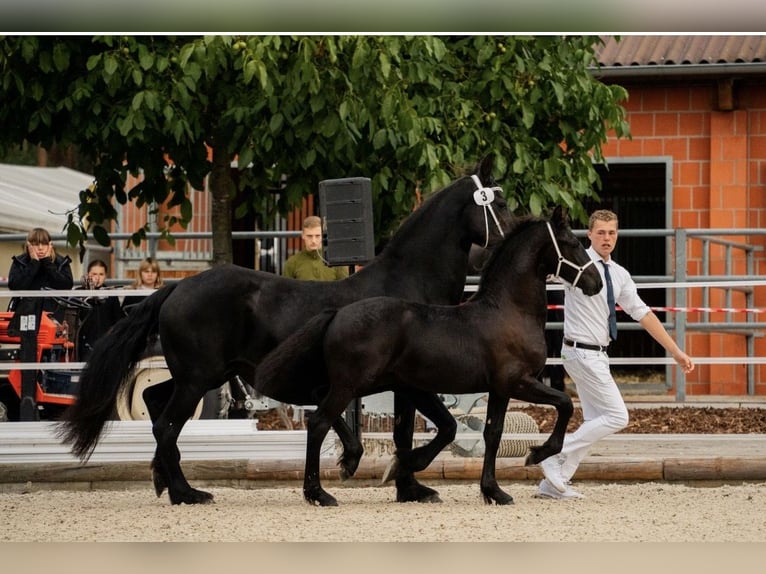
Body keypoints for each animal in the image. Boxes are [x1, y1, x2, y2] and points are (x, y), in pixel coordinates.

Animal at [57, 155, 514, 505]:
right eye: (502, 203)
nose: (511, 243)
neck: (408, 283)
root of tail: (176, 287)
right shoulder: (408, 383)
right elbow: (436, 428)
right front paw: (391, 475)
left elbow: (407, 430)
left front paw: (409, 488)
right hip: (198, 378)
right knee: (166, 424)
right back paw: (188, 493)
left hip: (200, 375)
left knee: (153, 402)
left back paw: (166, 483)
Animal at [253, 206, 603, 506]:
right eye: (573, 243)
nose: (596, 283)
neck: (507, 312)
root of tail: (337, 313)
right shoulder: (517, 382)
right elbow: (565, 403)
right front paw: (535, 454)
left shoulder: (499, 389)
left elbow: (492, 433)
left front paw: (493, 491)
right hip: (351, 385)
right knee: (318, 422)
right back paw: (319, 493)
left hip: (357, 384)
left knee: (316, 403)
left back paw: (349, 461)